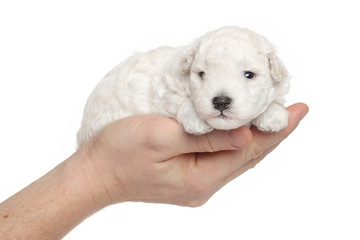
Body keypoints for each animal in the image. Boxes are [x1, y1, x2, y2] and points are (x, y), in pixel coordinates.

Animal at [76, 25, 290, 146]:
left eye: (249, 75)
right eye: (202, 74)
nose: (220, 101)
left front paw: (273, 116)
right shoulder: (166, 85)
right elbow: (180, 100)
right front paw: (195, 120)